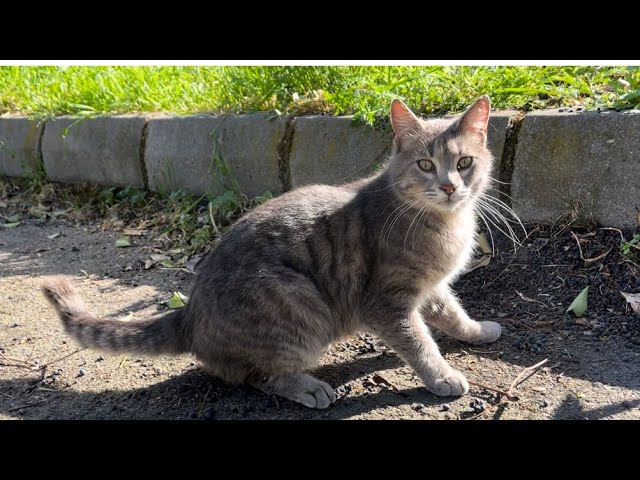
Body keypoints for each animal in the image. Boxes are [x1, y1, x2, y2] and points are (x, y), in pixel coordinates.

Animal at [43, 96, 504, 408]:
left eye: (463, 163)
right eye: (426, 165)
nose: (449, 186)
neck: (444, 226)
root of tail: (189, 313)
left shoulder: (433, 288)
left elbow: (452, 313)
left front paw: (477, 331)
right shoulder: (387, 303)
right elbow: (420, 344)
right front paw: (442, 377)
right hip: (298, 304)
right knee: (254, 374)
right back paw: (309, 387)